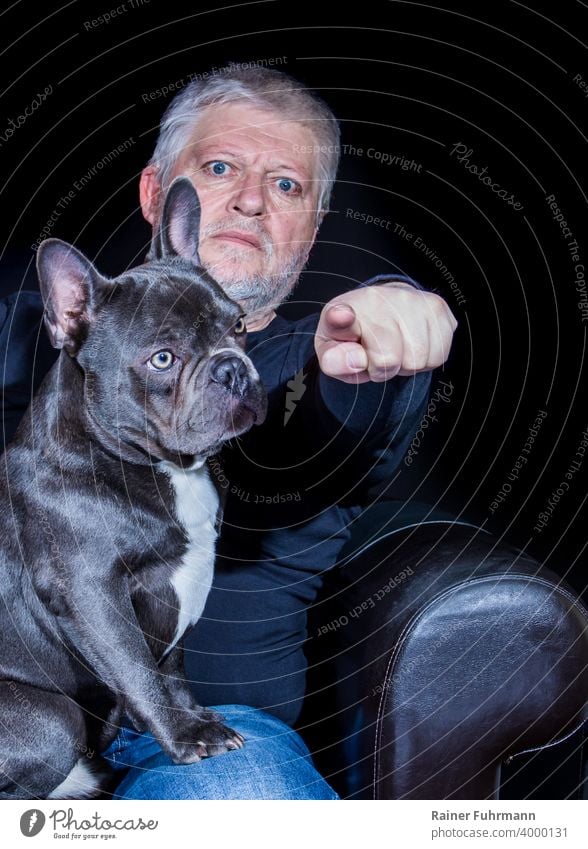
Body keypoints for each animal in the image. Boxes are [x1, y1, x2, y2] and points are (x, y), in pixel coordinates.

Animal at [0, 176, 266, 800]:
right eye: (162, 359)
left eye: (239, 325)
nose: (231, 367)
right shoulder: (90, 591)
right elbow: (137, 666)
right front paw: (187, 736)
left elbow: (169, 666)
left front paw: (194, 717)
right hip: (50, 717)